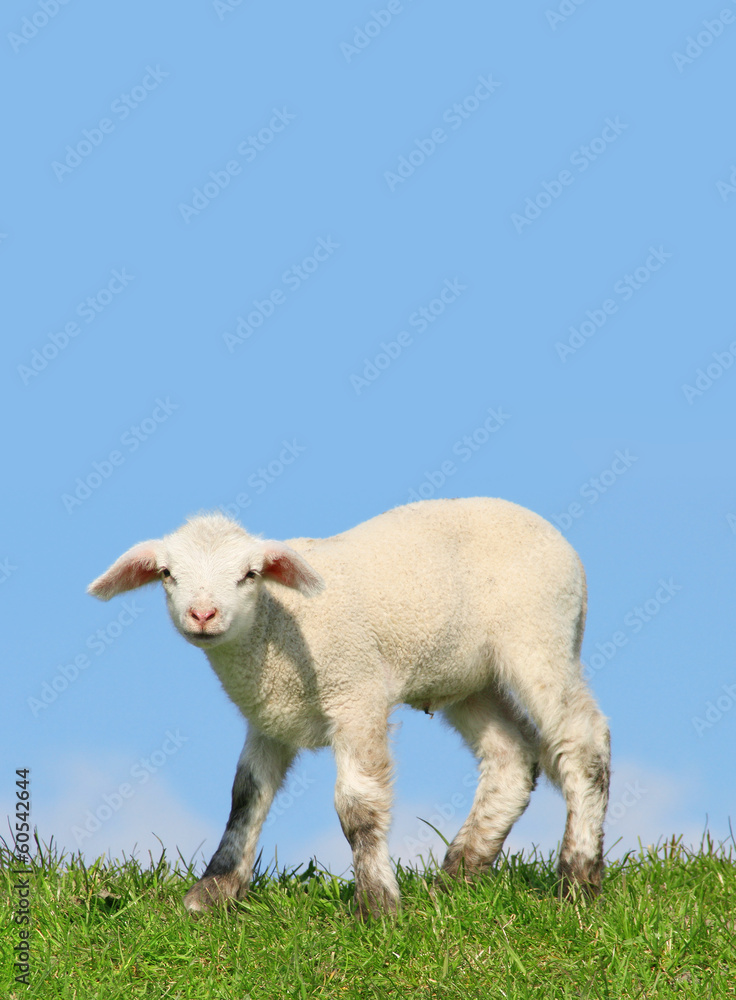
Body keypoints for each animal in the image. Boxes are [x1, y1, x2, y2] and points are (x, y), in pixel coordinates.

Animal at [87, 497, 610, 917]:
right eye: (166, 574)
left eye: (250, 574)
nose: (202, 614)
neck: (275, 625)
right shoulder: (268, 718)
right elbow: (246, 796)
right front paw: (214, 891)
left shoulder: (356, 694)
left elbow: (358, 807)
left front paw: (376, 905)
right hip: (469, 677)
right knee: (512, 757)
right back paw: (458, 874)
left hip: (539, 638)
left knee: (583, 741)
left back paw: (578, 880)